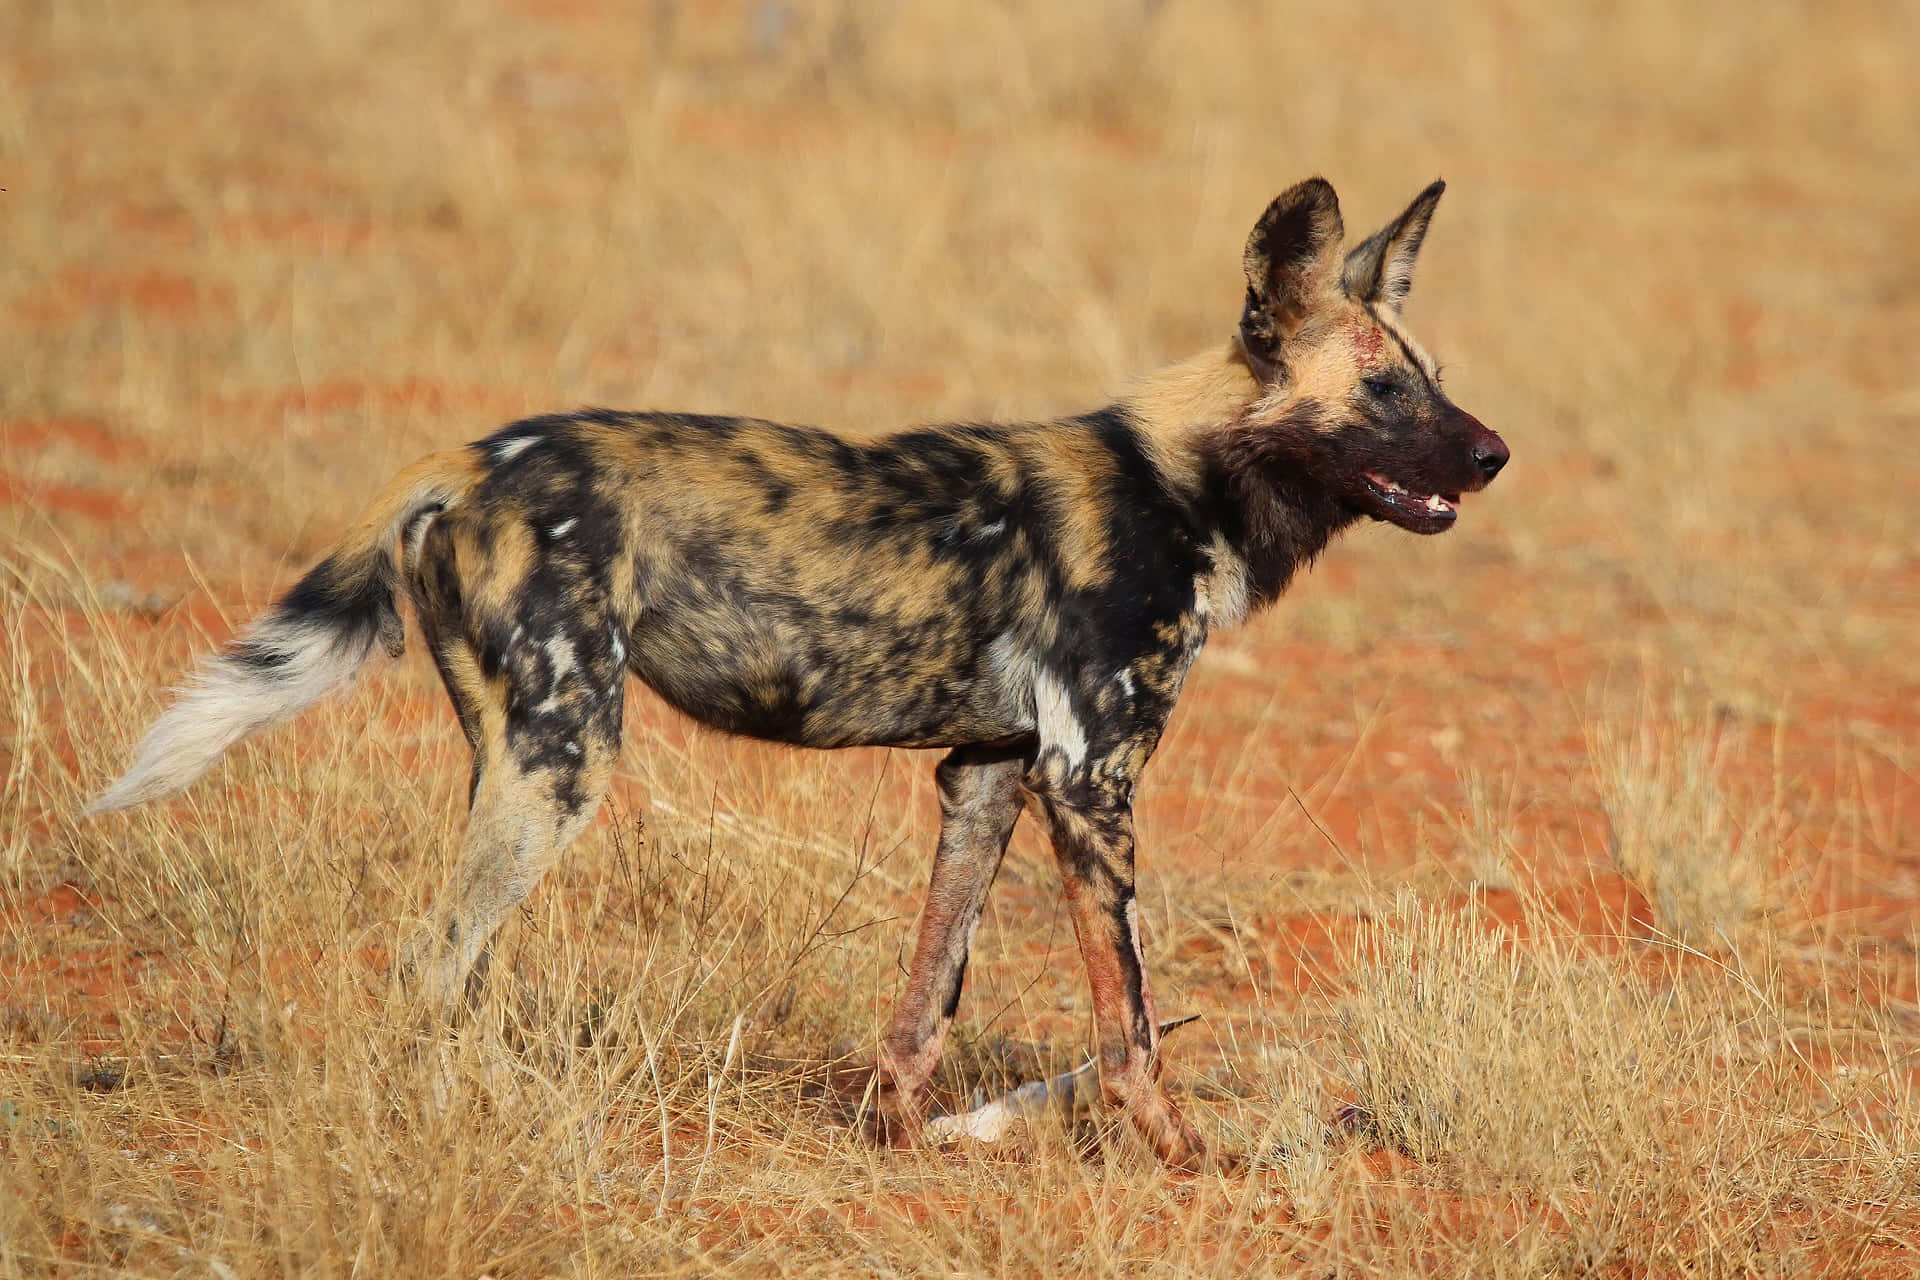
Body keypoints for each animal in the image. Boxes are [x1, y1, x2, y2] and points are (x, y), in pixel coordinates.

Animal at [90, 177, 1505, 1174]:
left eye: (1434, 378)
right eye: (1385, 389)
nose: (1494, 451)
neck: (1184, 481)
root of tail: (474, 454)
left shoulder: (990, 774)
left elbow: (927, 997)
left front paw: (897, 1137)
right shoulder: (1088, 778)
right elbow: (1133, 1025)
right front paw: (1184, 1157)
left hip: (514, 753)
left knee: (458, 961)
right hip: (567, 761)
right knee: (432, 958)